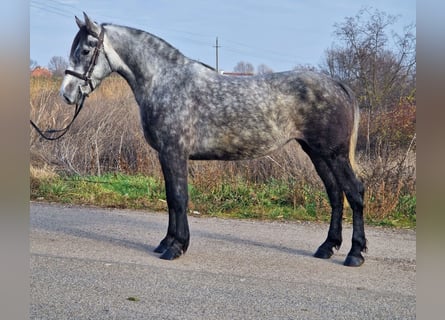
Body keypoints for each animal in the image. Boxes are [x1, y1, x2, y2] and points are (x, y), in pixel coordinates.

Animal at [60, 13, 366, 266]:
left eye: (85, 50)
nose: (67, 94)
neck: (165, 82)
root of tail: (337, 84)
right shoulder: (165, 155)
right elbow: (171, 198)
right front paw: (166, 243)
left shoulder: (174, 152)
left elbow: (179, 198)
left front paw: (176, 247)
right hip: (317, 153)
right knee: (335, 194)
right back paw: (327, 247)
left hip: (334, 154)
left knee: (354, 192)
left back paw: (355, 253)